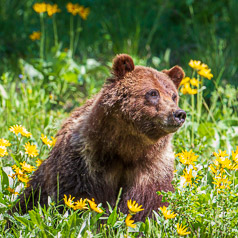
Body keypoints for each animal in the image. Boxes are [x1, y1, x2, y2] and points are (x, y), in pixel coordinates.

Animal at [14, 53, 186, 219]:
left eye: (173, 95)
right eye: (153, 93)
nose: (179, 114)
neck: (127, 148)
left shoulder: (152, 169)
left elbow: (147, 204)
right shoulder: (87, 163)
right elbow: (82, 198)